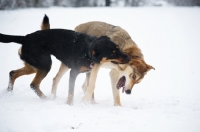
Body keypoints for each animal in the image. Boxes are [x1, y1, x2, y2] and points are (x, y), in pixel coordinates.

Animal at [0, 28, 130, 99]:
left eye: (118, 48)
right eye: (112, 52)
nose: (128, 57)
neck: (87, 50)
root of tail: (25, 38)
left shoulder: (89, 72)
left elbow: (90, 89)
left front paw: (90, 104)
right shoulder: (73, 73)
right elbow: (71, 93)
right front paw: (70, 105)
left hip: (34, 65)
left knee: (13, 73)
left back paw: (9, 92)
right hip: (45, 64)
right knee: (33, 84)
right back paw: (47, 99)